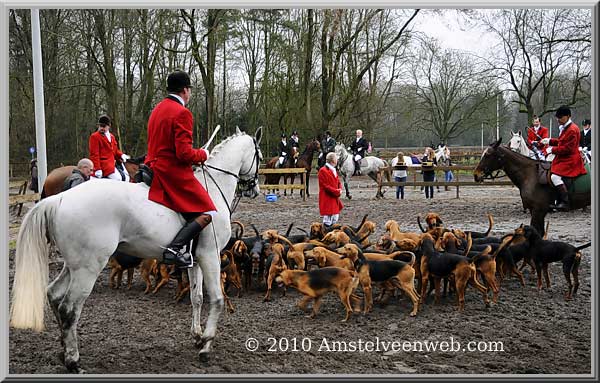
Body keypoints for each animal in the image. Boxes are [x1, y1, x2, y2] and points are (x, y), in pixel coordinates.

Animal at [9, 127, 262, 374]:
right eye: (259, 156)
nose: (256, 190)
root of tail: (60, 199)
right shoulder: (210, 255)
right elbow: (217, 299)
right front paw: (206, 346)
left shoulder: (196, 259)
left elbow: (197, 298)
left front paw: (197, 336)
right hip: (88, 268)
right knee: (69, 308)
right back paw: (73, 361)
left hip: (74, 265)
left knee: (53, 294)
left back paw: (63, 351)